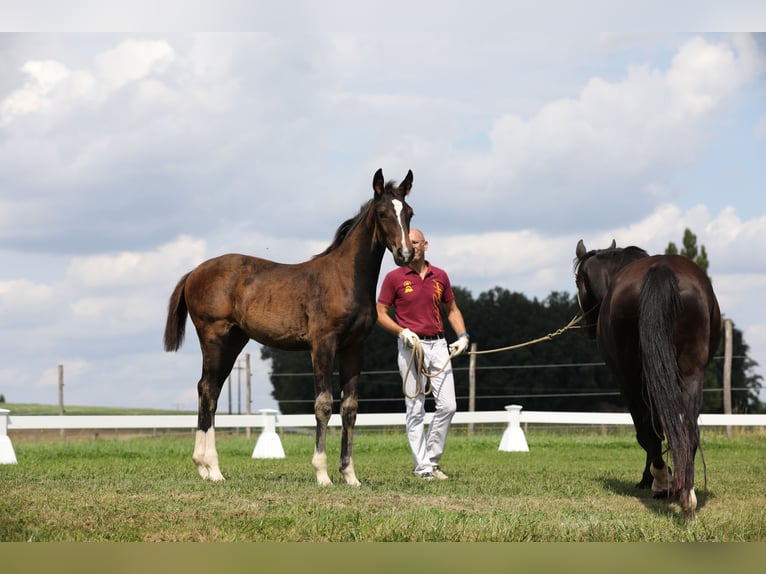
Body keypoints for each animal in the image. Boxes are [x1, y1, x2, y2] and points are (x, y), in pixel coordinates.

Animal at [162, 170, 414, 486]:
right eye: (382, 213)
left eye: (409, 213)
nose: (405, 254)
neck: (345, 279)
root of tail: (194, 272)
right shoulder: (323, 344)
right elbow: (323, 404)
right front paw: (322, 474)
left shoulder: (355, 347)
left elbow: (350, 407)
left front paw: (350, 476)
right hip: (214, 337)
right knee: (207, 390)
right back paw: (213, 468)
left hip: (234, 342)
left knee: (210, 389)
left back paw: (204, 468)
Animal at [580, 238, 724, 516]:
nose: (588, 328)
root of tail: (662, 270)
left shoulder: (629, 383)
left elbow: (648, 431)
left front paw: (653, 478)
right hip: (690, 374)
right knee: (687, 429)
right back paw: (686, 492)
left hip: (633, 380)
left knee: (650, 431)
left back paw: (662, 481)